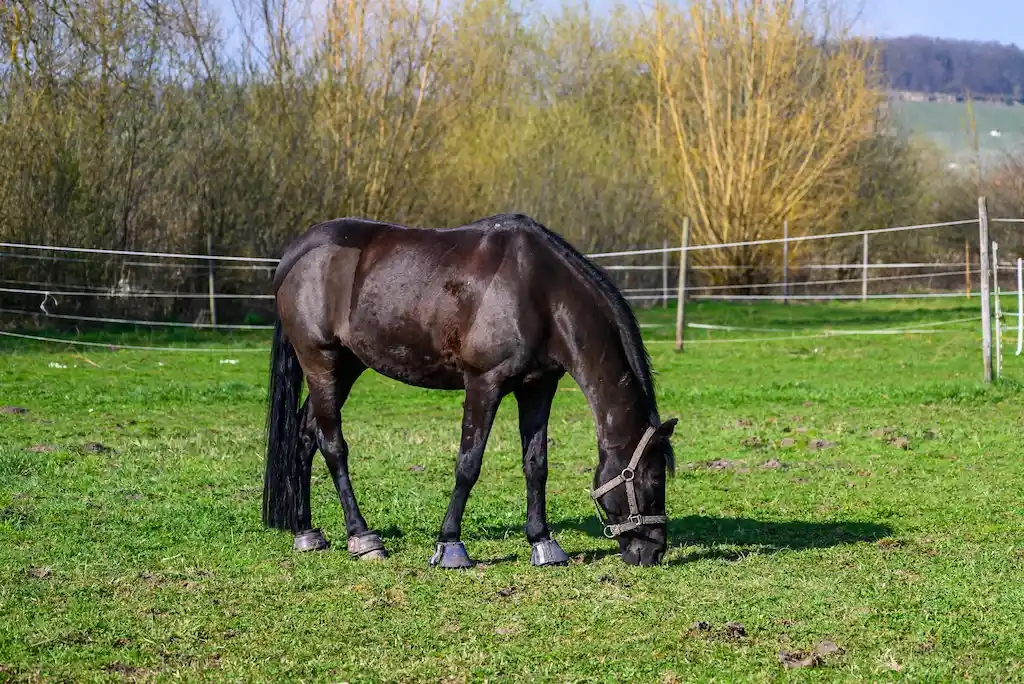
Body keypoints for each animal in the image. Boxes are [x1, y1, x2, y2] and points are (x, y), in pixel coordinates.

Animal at [262, 213, 678, 567]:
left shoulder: (538, 387)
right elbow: (468, 464)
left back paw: (306, 533)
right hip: (321, 363)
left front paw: (543, 542)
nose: (653, 552)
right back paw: (363, 538)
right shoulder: (484, 384)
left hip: (347, 366)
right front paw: (450, 545)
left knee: (305, 436)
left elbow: (536, 464)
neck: (539, 291)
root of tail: (296, 254)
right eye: (654, 480)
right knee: (333, 445)